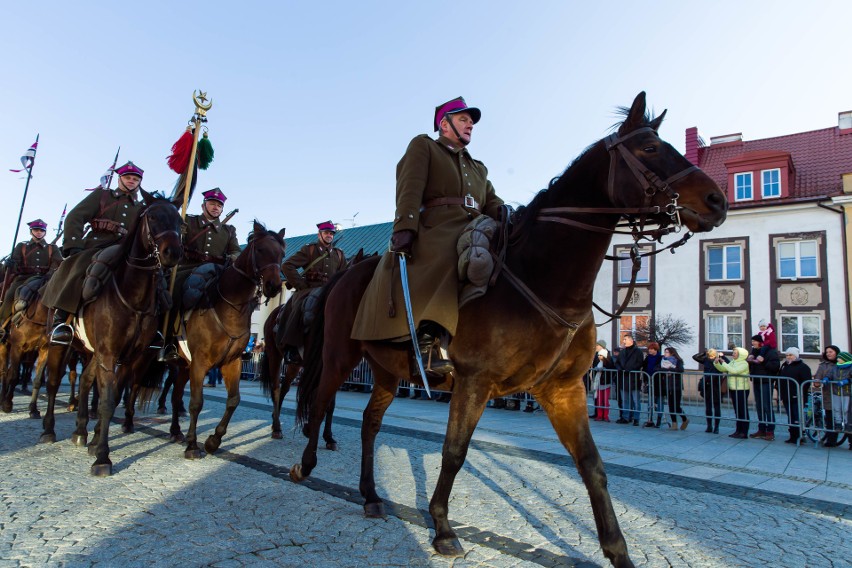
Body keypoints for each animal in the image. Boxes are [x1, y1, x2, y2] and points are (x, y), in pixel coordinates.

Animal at [39, 193, 184, 478]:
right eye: (153, 216)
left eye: (180, 221)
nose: (172, 253)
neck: (133, 294)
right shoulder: (108, 354)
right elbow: (106, 401)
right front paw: (102, 457)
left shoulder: (129, 357)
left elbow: (114, 395)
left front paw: (96, 441)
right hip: (61, 346)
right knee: (52, 384)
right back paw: (49, 429)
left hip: (93, 352)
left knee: (85, 380)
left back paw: (80, 431)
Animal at [164, 220, 286, 460]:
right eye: (260, 249)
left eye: (282, 254)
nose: (274, 285)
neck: (228, 308)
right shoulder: (200, 363)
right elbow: (196, 403)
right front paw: (193, 446)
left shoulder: (233, 362)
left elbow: (234, 400)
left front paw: (213, 441)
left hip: (183, 366)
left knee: (175, 395)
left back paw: (175, 431)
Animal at [292, 94, 724, 568]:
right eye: (649, 148)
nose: (718, 200)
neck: (542, 279)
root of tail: (345, 273)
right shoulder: (474, 382)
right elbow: (454, 452)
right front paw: (442, 527)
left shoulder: (563, 389)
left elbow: (591, 464)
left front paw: (618, 551)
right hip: (340, 355)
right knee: (320, 404)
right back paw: (304, 465)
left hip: (387, 369)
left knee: (370, 423)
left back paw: (370, 495)